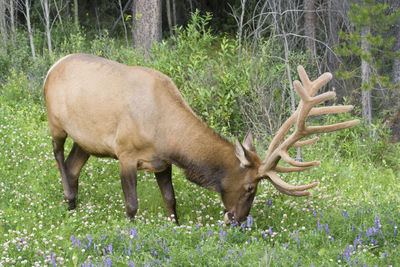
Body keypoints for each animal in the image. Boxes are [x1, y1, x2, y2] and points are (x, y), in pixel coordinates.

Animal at [43, 53, 360, 225]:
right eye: (250, 187)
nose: (237, 220)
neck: (165, 134)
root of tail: (52, 67)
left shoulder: (162, 162)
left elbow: (171, 201)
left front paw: (175, 227)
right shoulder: (126, 153)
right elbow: (131, 205)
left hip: (87, 141)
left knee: (73, 166)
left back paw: (73, 207)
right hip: (56, 122)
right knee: (58, 156)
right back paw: (68, 196)